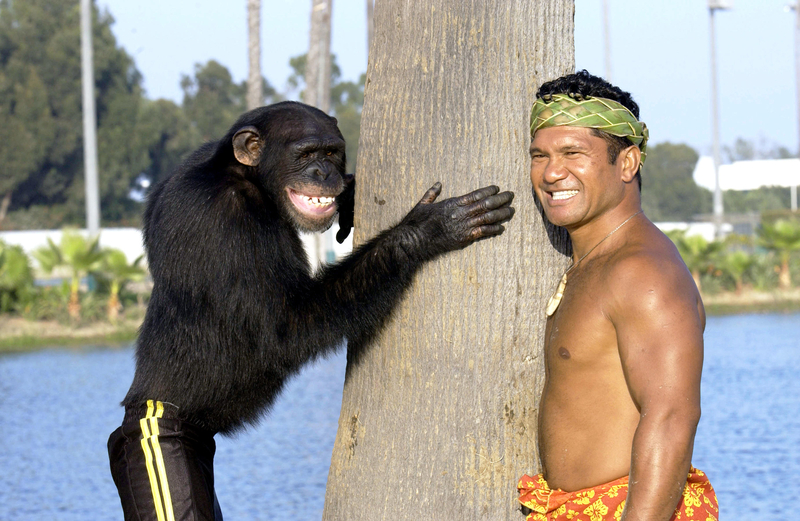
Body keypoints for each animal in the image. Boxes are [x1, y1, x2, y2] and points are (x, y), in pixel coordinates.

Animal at [106, 99, 512, 516]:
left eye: (331, 152)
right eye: (305, 154)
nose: (325, 172)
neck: (250, 179)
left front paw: (350, 193)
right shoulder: (225, 219)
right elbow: (286, 326)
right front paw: (423, 230)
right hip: (158, 447)